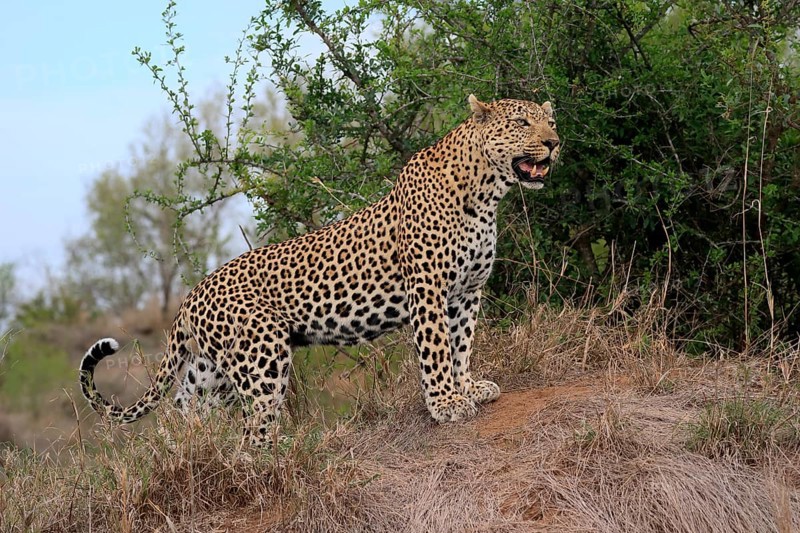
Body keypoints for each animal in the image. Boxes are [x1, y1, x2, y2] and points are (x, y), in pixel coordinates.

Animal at [80, 94, 560, 445]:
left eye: (549, 121)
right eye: (522, 123)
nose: (554, 143)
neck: (486, 194)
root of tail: (190, 297)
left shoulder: (467, 291)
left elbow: (461, 345)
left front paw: (467, 389)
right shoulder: (429, 289)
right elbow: (437, 349)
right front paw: (446, 404)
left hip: (212, 370)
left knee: (183, 411)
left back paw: (187, 454)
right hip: (263, 355)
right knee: (255, 428)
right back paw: (281, 457)